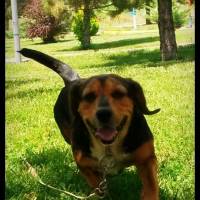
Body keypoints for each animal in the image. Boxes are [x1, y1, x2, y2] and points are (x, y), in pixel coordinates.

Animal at [19, 48, 160, 200]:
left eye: (118, 94)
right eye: (88, 97)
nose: (103, 114)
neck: (109, 148)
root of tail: (74, 80)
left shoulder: (147, 159)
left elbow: (151, 186)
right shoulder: (84, 164)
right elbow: (97, 185)